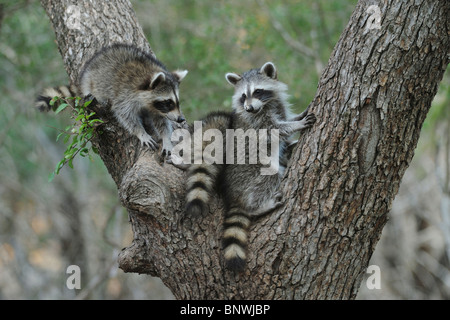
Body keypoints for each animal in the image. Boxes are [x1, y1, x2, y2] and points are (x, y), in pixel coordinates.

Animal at [35, 43, 188, 156]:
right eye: (168, 102)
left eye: (176, 101)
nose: (181, 119)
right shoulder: (124, 95)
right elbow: (126, 116)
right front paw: (141, 133)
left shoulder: (156, 108)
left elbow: (161, 121)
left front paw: (166, 138)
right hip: (91, 85)